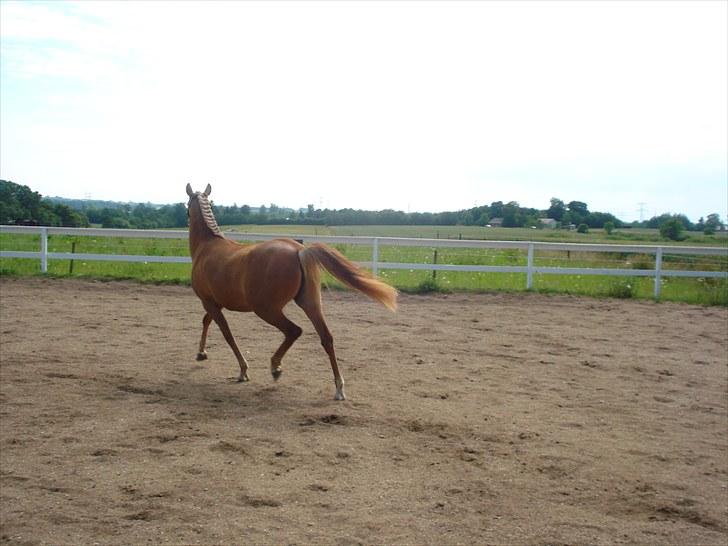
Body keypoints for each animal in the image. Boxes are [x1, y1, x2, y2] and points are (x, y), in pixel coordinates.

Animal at [185, 181, 396, 398]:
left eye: (186, 206)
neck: (207, 246)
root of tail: (299, 250)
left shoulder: (209, 302)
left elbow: (227, 334)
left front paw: (243, 371)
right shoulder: (215, 302)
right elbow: (206, 321)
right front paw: (201, 353)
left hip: (267, 309)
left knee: (294, 331)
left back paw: (275, 367)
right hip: (310, 303)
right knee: (326, 338)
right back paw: (339, 388)